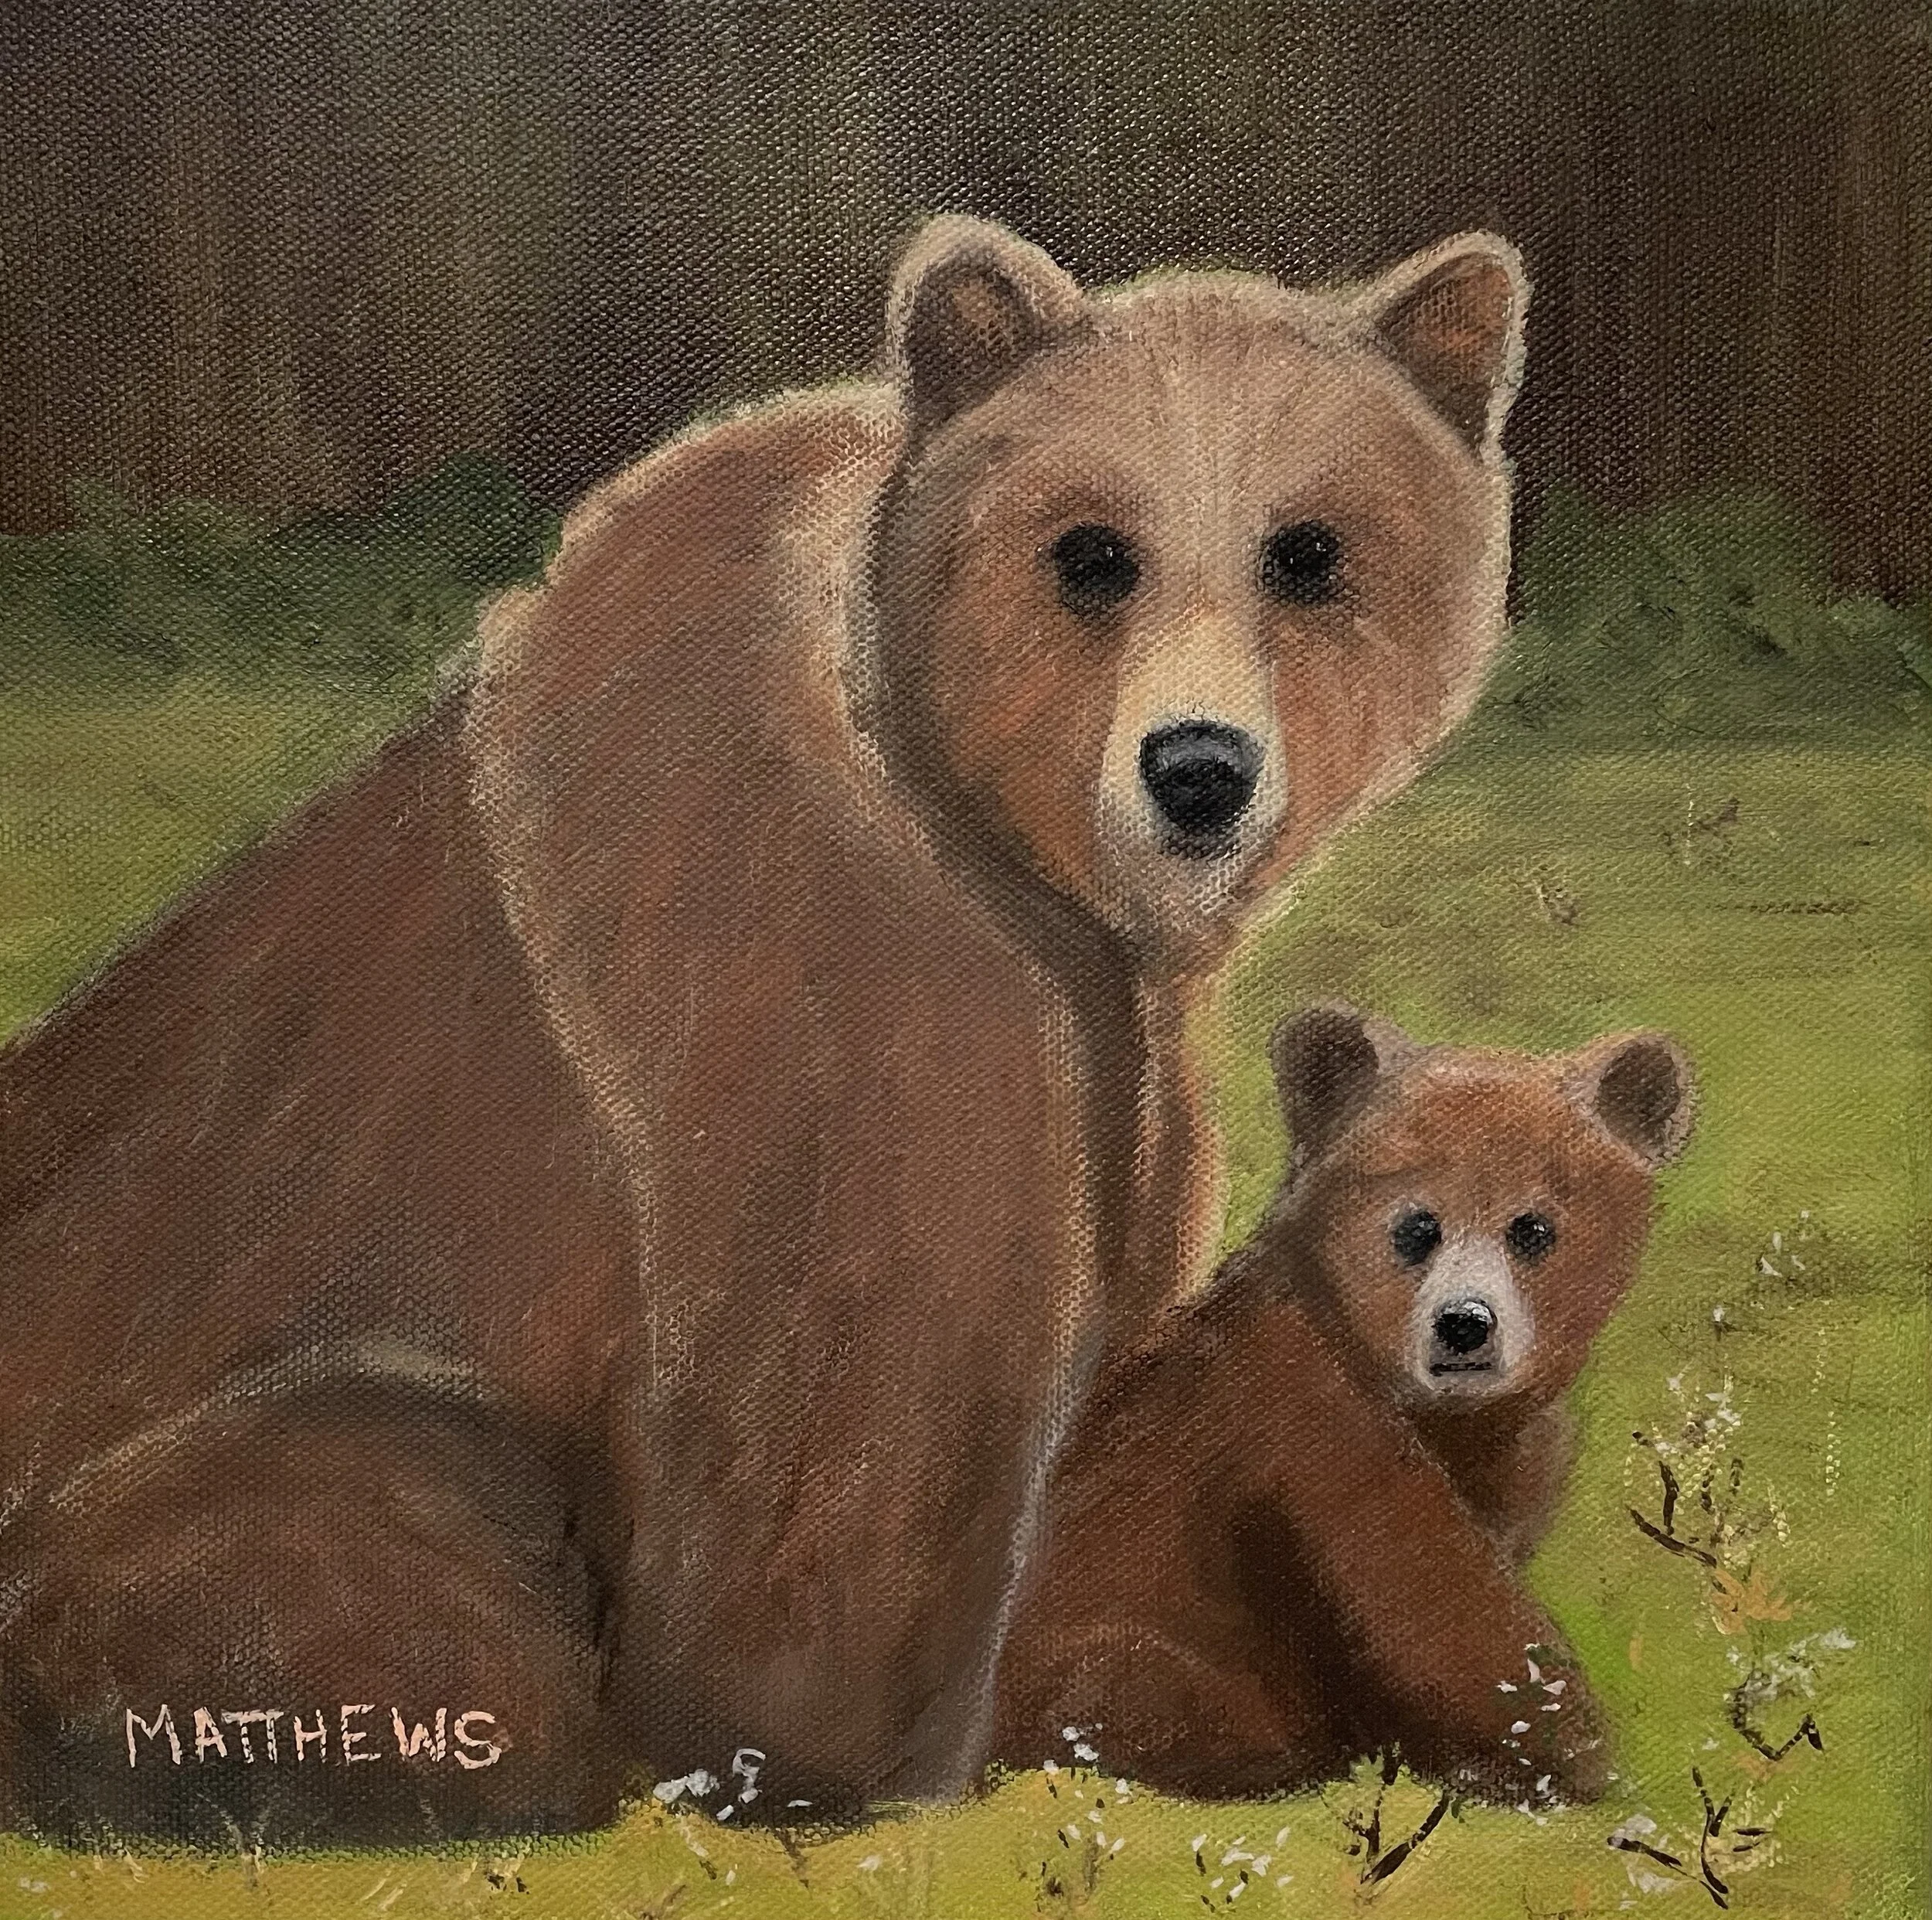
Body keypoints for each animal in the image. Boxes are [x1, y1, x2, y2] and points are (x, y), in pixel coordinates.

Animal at [0, 215, 1546, 1843]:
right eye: (1090, 550)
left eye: (1306, 548)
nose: (1198, 768)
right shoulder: (834, 996)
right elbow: (835, 1514)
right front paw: (856, 1763)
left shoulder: (1110, 1056)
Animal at [994, 1004, 1693, 1801]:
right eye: (1417, 1226)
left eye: (1532, 1228)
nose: (1464, 1324)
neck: (1440, 1415)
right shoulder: (1311, 1416)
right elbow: (1435, 1594)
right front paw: (1569, 1761)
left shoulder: (1516, 1457)